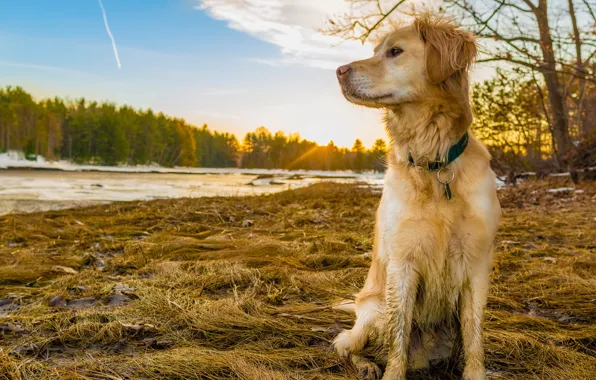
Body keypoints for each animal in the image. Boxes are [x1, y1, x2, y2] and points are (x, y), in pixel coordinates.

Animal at [332, 15, 500, 380]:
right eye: (375, 51)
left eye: (395, 52)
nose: (339, 70)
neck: (433, 163)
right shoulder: (402, 263)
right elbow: (399, 337)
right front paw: (392, 373)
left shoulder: (476, 264)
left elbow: (474, 335)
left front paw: (476, 373)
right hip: (372, 311)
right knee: (346, 345)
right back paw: (366, 366)